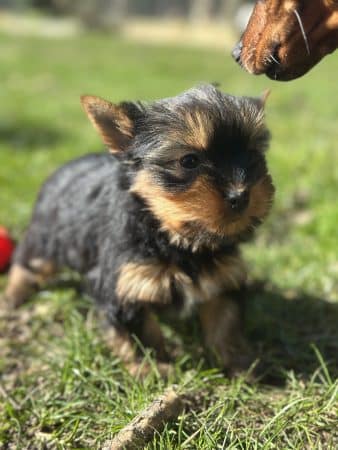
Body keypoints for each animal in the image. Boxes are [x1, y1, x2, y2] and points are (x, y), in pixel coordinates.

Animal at [2, 83, 274, 376]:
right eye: (189, 161)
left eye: (253, 154)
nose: (240, 195)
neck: (176, 238)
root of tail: (66, 166)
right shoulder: (127, 284)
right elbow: (141, 333)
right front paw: (154, 369)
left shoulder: (223, 278)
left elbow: (224, 323)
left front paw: (239, 365)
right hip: (46, 238)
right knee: (27, 263)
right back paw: (13, 296)